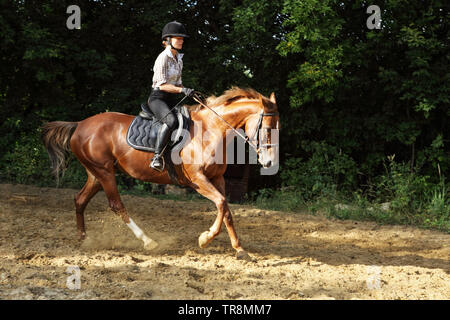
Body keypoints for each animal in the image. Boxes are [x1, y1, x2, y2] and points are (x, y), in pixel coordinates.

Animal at [41, 87, 278, 260]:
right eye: (267, 129)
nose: (268, 162)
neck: (211, 130)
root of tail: (80, 124)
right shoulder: (198, 180)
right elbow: (221, 203)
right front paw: (205, 239)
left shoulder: (217, 178)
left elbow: (226, 209)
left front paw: (239, 249)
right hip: (104, 172)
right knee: (116, 205)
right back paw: (148, 241)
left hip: (96, 174)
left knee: (80, 200)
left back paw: (83, 239)